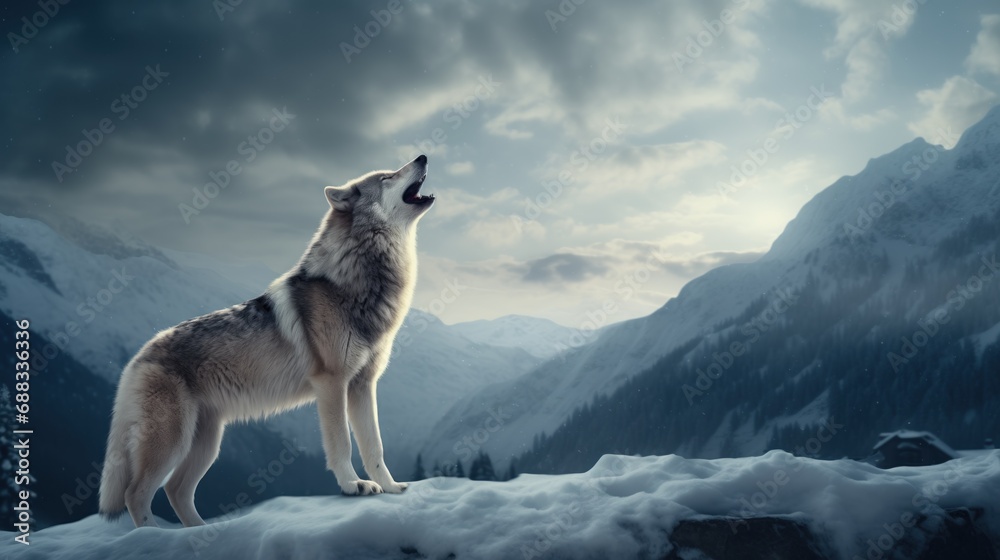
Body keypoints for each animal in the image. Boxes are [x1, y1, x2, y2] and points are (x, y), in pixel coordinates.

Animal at [99, 155, 435, 528]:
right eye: (388, 176)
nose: (422, 156)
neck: (354, 282)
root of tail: (139, 355)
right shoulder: (332, 384)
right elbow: (342, 445)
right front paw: (353, 486)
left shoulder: (363, 385)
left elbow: (374, 446)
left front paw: (390, 488)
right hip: (172, 442)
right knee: (136, 494)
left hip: (207, 443)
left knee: (175, 490)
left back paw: (200, 531)